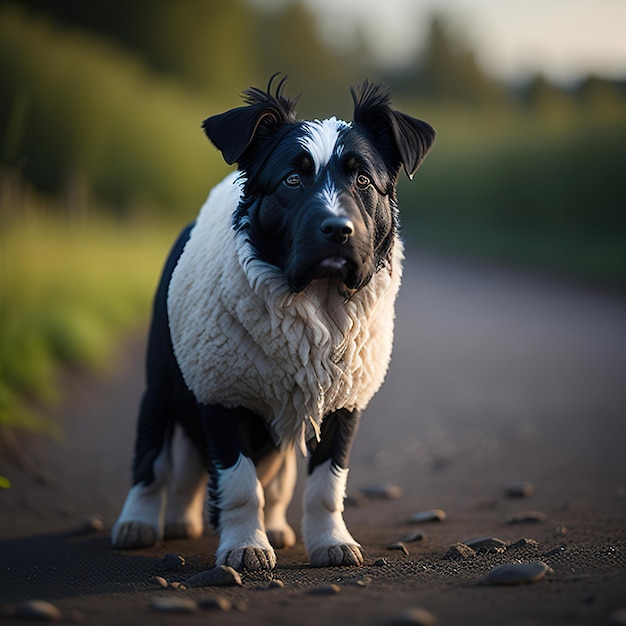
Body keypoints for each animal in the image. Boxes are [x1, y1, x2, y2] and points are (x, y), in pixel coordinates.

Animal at [111, 75, 434, 568]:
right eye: (292, 179)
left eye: (363, 179)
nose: (338, 230)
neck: (317, 300)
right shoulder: (222, 393)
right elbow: (239, 483)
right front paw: (246, 545)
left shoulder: (344, 401)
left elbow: (326, 484)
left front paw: (330, 541)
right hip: (161, 385)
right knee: (152, 458)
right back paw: (140, 522)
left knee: (273, 481)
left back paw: (260, 525)